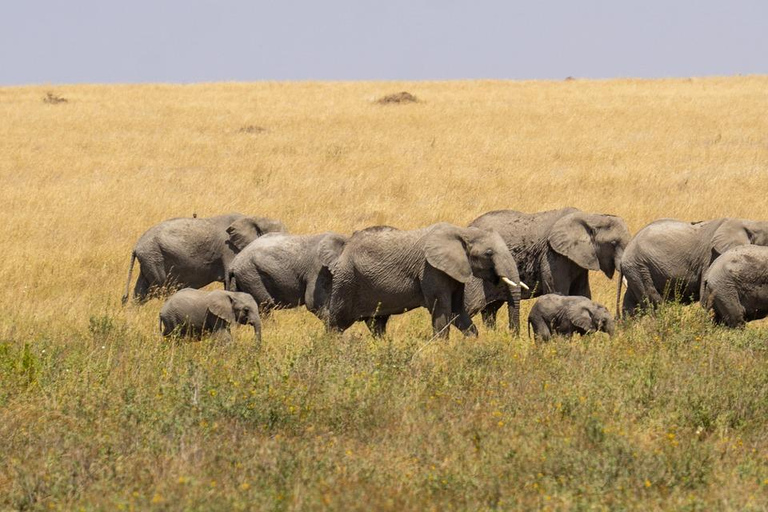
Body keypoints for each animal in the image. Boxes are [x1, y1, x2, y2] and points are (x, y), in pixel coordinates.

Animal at [121, 213, 286, 304]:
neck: (255, 218)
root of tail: (136, 246)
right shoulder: (229, 250)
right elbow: (230, 282)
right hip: (155, 258)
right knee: (159, 288)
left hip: (148, 260)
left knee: (141, 292)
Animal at [320, 223, 524, 336]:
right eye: (489, 253)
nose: (512, 336)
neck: (462, 231)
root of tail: (346, 246)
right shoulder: (431, 270)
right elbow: (442, 311)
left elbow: (457, 311)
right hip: (347, 279)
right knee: (337, 322)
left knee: (376, 323)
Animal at [468, 207, 632, 328]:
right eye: (613, 243)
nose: (618, 319)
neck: (591, 217)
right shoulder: (553, 256)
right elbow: (559, 292)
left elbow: (582, 293)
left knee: (490, 310)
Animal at [616, 217, 768, 316]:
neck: (749, 223)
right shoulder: (710, 257)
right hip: (639, 267)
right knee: (654, 303)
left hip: (635, 270)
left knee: (631, 306)